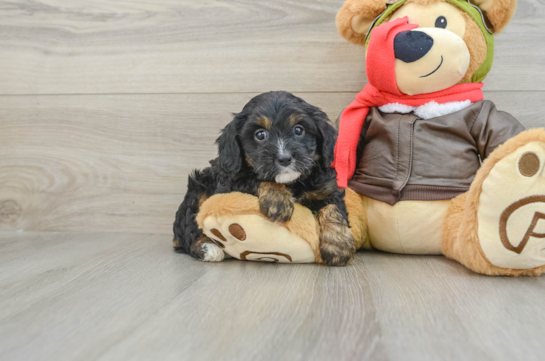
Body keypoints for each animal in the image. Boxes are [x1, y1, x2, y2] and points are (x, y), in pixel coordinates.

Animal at [172, 90, 354, 264]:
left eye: (299, 130)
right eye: (260, 135)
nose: (284, 158)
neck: (291, 183)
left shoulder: (326, 188)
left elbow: (333, 209)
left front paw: (338, 245)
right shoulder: (232, 181)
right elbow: (256, 179)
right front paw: (278, 201)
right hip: (198, 190)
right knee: (189, 230)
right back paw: (208, 248)